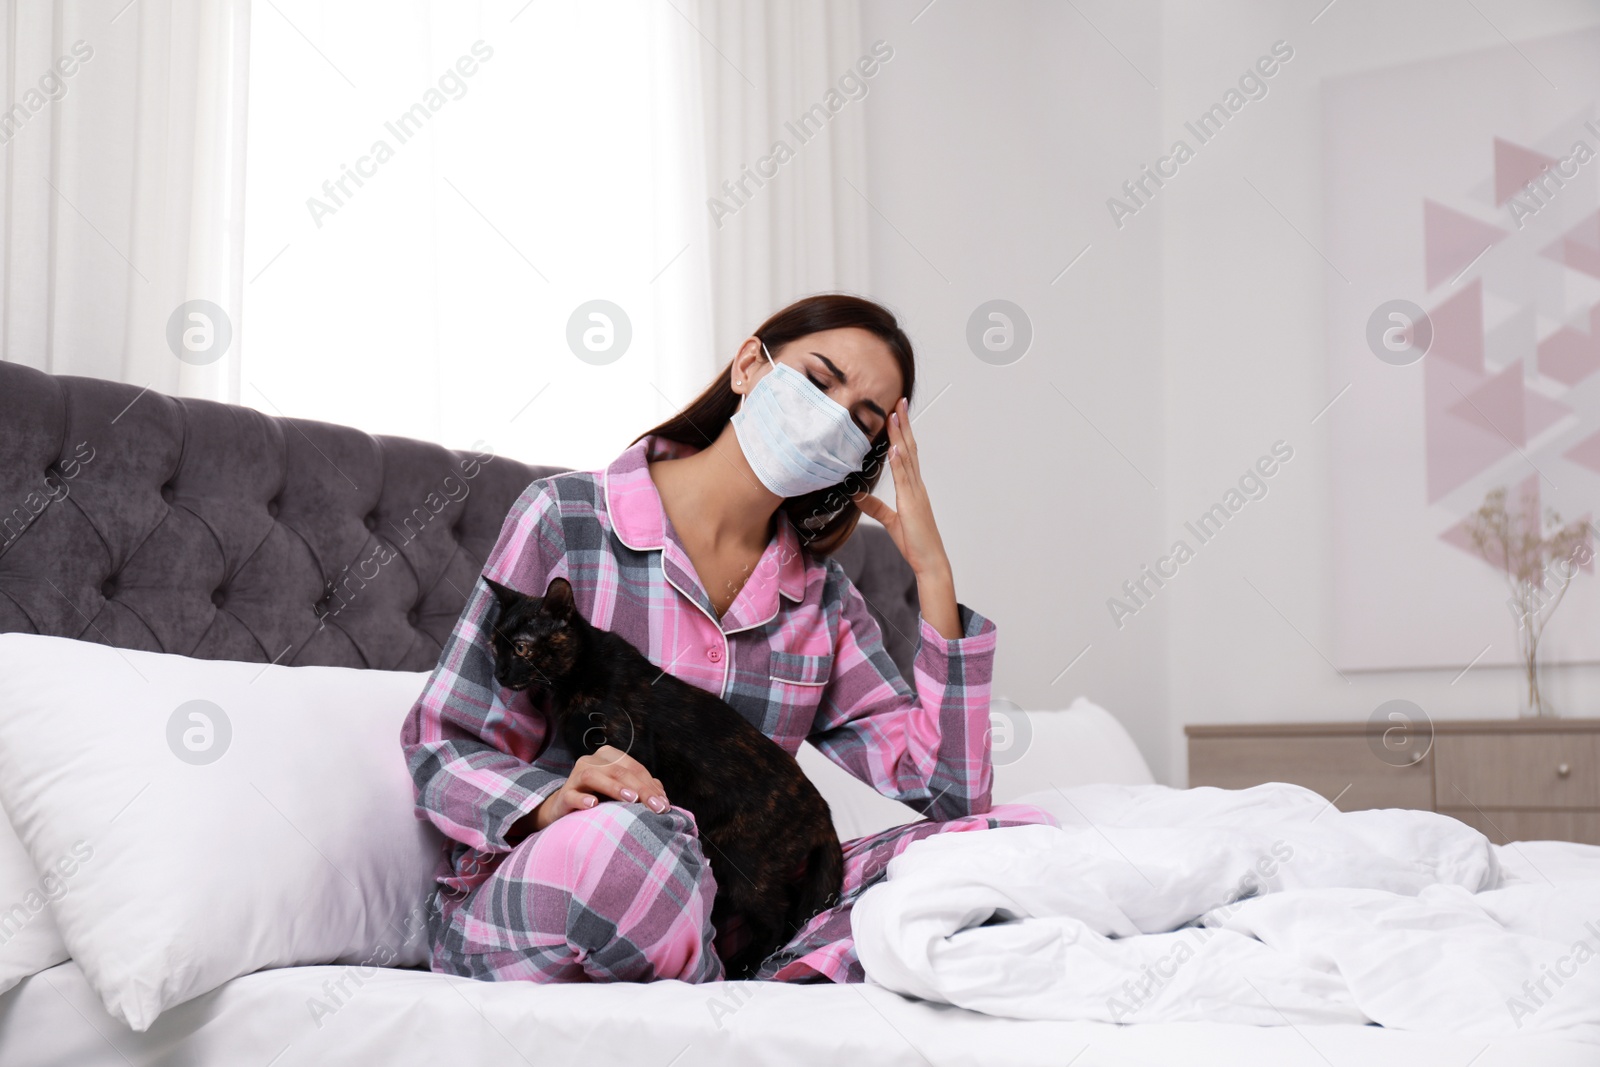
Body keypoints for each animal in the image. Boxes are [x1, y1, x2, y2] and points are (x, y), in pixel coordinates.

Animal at [480, 575, 844, 979]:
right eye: (494, 645)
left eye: (522, 648)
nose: (498, 673)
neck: (577, 678)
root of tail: (824, 814)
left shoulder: (632, 753)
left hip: (746, 862)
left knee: (776, 917)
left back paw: (742, 966)